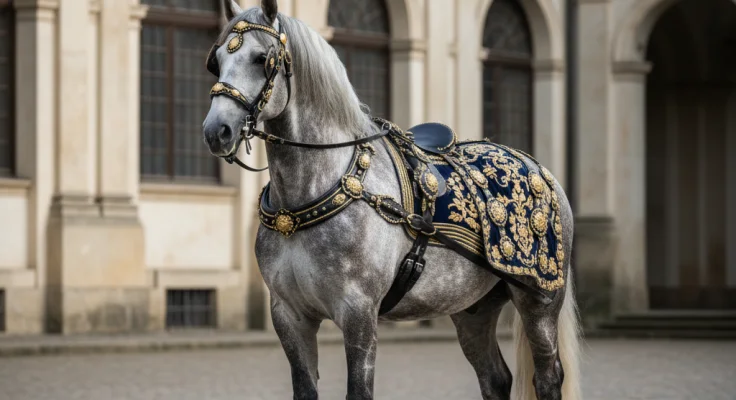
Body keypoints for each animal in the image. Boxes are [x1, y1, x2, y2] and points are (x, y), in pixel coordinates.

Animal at [201, 1, 581, 399]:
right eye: (215, 62)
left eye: (262, 58)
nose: (217, 131)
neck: (306, 200)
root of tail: (537, 167)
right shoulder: (290, 316)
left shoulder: (359, 314)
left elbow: (359, 389)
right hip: (472, 307)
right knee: (495, 378)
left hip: (539, 302)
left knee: (548, 377)